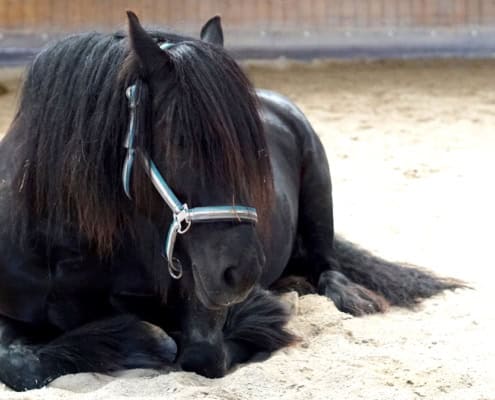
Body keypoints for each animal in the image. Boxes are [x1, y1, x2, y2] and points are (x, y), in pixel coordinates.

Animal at [0, 11, 464, 390]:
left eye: (254, 150)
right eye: (181, 141)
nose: (243, 273)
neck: (64, 248)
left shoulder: (199, 294)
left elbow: (203, 354)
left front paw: (255, 317)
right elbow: (18, 366)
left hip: (319, 193)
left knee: (327, 265)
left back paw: (347, 296)